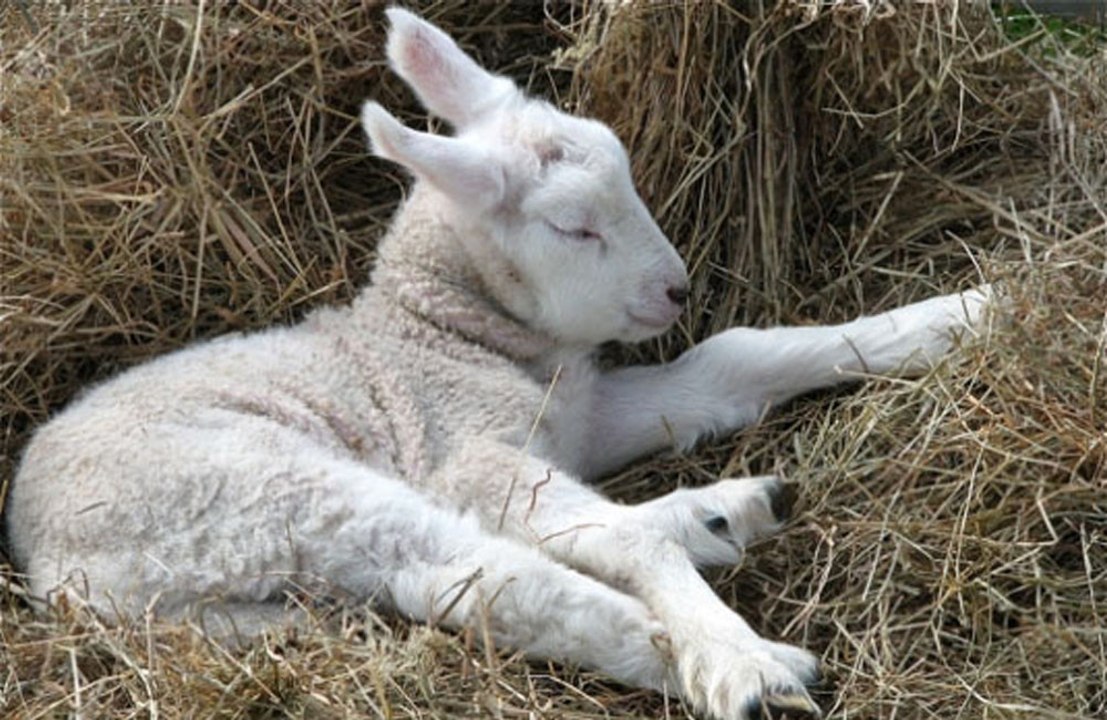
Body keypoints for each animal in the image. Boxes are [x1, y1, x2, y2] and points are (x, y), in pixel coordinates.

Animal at [5, 8, 993, 719]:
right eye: (573, 228)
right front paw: (729, 656)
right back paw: (747, 663)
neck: (439, 331)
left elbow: (732, 363)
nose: (674, 290)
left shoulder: (571, 414)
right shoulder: (465, 444)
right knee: (490, 581)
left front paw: (967, 314)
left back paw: (723, 515)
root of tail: (51, 572)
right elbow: (586, 534)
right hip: (260, 491)